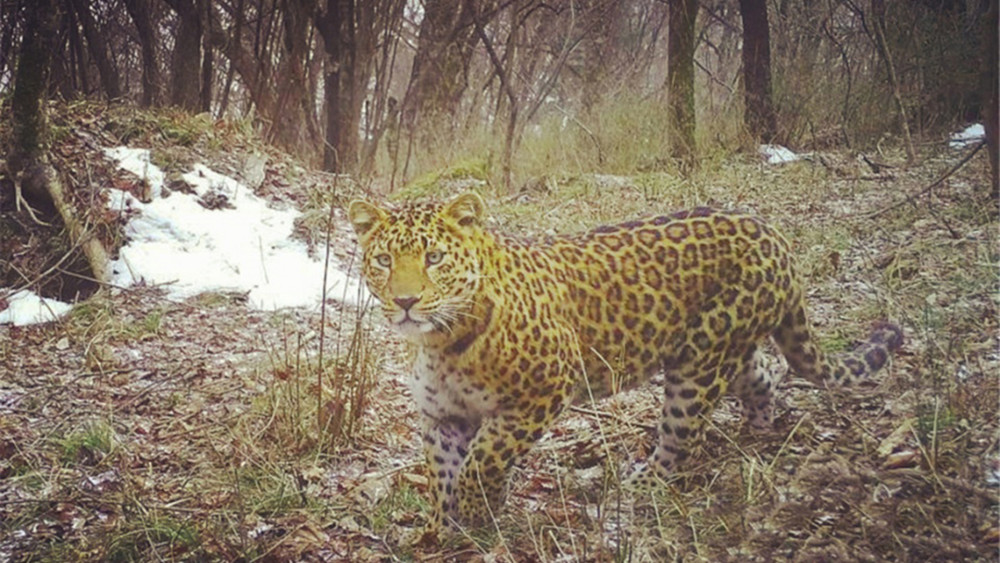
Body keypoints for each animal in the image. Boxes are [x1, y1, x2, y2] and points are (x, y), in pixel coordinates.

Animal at [348, 193, 904, 536]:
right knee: (762, 375)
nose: (405, 301)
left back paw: (640, 482)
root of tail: (774, 234)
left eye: (435, 258)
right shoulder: (444, 415)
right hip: (714, 345)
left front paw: (478, 508)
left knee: (683, 436)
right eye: (383, 261)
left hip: (696, 368)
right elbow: (442, 472)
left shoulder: (543, 391)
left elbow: (483, 460)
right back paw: (760, 428)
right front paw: (444, 530)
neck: (441, 341)